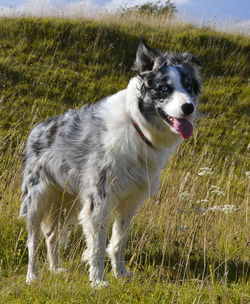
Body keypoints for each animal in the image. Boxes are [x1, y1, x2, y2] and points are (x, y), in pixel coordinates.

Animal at [20, 39, 202, 288]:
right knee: (33, 239)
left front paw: (121, 274)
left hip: (69, 199)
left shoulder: (131, 200)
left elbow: (118, 242)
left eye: (189, 87)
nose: (188, 107)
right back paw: (33, 276)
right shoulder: (99, 198)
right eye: (164, 88)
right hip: (37, 198)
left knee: (52, 236)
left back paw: (55, 269)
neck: (138, 128)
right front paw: (98, 281)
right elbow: (97, 245)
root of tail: (37, 129)